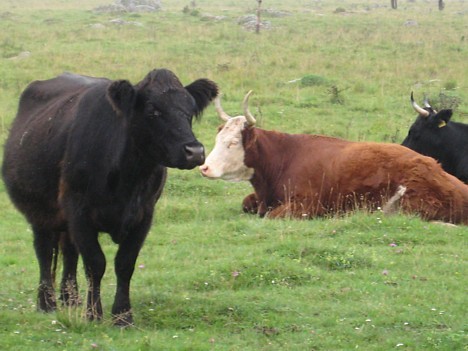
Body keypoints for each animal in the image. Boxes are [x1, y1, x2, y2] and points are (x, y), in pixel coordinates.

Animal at [1, 69, 218, 328]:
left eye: (190, 111)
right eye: (153, 110)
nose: (195, 151)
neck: (128, 178)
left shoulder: (144, 215)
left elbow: (125, 263)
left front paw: (123, 316)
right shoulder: (79, 213)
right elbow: (95, 263)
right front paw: (94, 314)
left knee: (69, 253)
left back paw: (70, 299)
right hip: (39, 212)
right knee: (44, 252)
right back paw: (47, 304)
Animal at [199, 92, 468, 224]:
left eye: (232, 143)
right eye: (218, 139)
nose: (205, 168)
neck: (284, 157)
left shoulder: (307, 206)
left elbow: (272, 216)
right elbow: (247, 203)